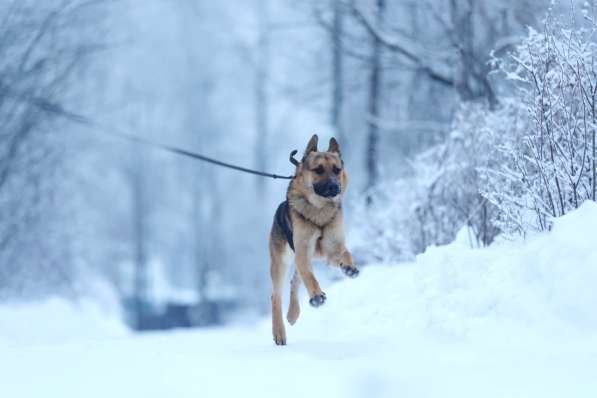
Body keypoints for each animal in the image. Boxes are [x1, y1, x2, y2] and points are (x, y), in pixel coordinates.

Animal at [270, 134, 358, 346]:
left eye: (337, 170)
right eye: (318, 170)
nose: (335, 187)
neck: (320, 211)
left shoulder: (332, 250)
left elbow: (346, 252)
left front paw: (349, 267)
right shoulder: (303, 251)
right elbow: (309, 277)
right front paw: (317, 295)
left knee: (295, 281)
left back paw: (293, 313)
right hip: (281, 262)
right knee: (276, 296)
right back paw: (279, 332)